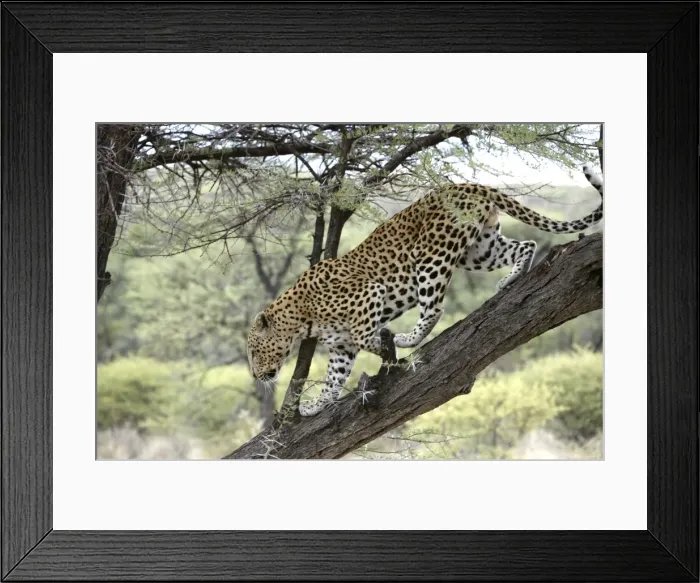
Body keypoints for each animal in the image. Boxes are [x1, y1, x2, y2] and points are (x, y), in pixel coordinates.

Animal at [247, 164, 604, 417]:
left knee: (434, 307)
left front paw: (387, 347)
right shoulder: (340, 346)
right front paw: (316, 405)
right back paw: (511, 279)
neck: (301, 316)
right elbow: (334, 376)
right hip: (479, 250)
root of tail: (465, 183)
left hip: (432, 256)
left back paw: (408, 338)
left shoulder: (368, 295)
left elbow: (365, 337)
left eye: (253, 351)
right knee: (525, 245)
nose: (255, 375)